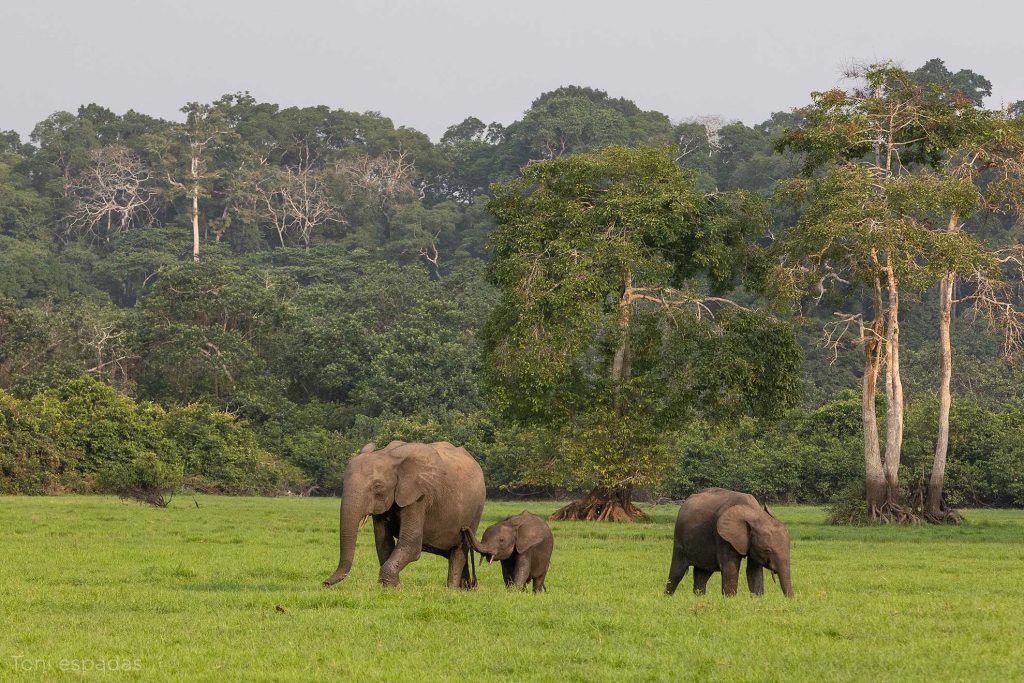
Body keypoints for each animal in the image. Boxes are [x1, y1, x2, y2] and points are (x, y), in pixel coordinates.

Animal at [322, 440, 485, 589]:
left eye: (377, 486)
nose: (325, 583)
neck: (389, 456)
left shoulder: (419, 496)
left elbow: (410, 544)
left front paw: (392, 588)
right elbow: (383, 543)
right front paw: (392, 587)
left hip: (476, 510)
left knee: (460, 550)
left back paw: (452, 590)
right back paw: (465, 588)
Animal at [664, 488, 793, 598]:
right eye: (767, 550)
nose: (790, 599)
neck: (755, 514)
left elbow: (753, 570)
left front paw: (757, 599)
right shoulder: (723, 538)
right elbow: (730, 567)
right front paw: (730, 600)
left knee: (702, 574)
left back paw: (699, 598)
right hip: (679, 539)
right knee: (677, 572)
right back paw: (667, 597)